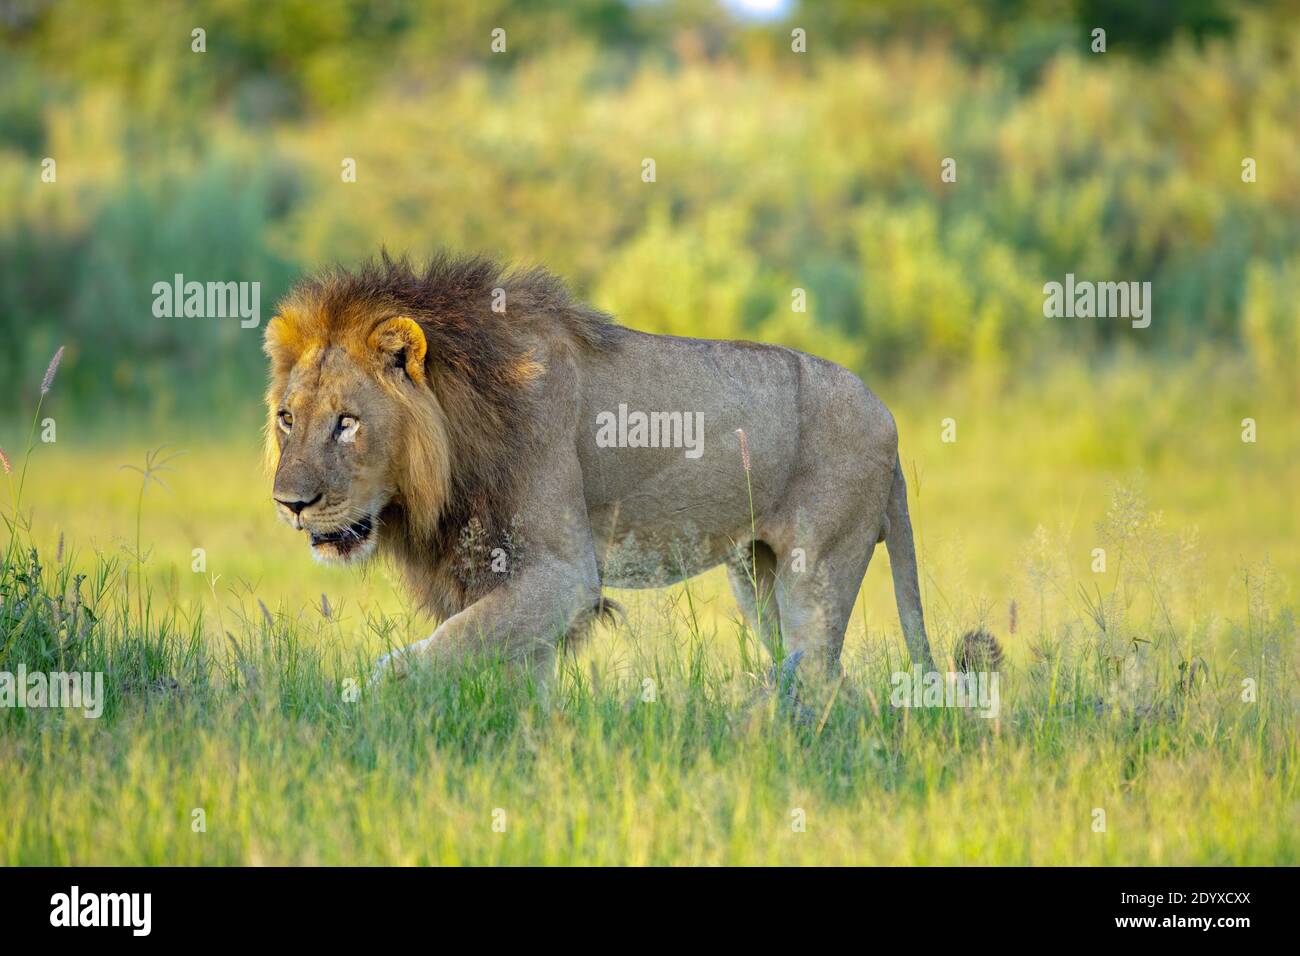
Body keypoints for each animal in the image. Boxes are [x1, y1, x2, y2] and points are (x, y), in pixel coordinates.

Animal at [261, 252, 935, 686]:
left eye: (347, 423)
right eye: (288, 419)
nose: (289, 505)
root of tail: (889, 417)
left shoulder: (565, 574)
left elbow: (450, 643)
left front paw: (377, 688)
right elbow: (508, 666)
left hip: (817, 570)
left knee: (822, 677)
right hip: (756, 576)